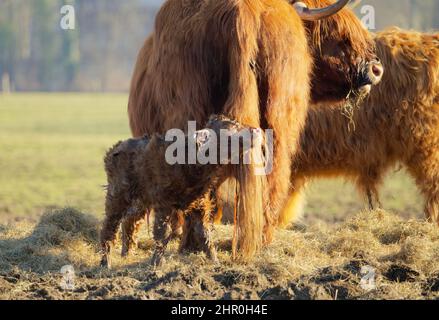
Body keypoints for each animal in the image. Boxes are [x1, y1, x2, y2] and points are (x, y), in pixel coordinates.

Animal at [99, 115, 262, 268]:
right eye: (231, 127)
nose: (257, 130)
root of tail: (114, 149)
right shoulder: (164, 204)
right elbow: (163, 233)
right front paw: (157, 262)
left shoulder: (200, 205)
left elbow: (204, 234)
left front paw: (215, 261)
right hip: (117, 195)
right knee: (109, 227)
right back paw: (105, 262)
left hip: (140, 200)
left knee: (129, 221)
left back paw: (127, 253)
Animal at [126, 0, 382, 260]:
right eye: (338, 34)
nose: (376, 69)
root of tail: (242, 12)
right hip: (277, 125)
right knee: (270, 179)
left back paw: (197, 245)